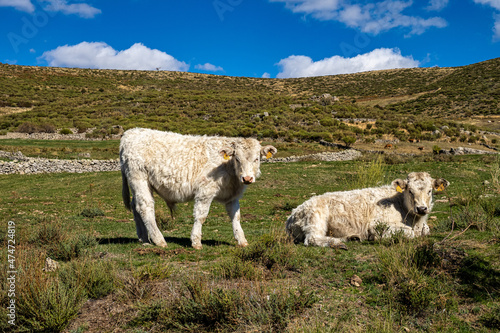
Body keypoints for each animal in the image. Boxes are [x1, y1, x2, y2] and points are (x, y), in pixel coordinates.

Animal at [120, 128, 278, 248]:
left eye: (256, 159)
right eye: (237, 159)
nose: (247, 178)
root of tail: (132, 132)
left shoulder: (232, 196)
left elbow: (236, 216)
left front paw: (242, 240)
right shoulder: (205, 192)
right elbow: (201, 216)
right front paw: (196, 241)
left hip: (139, 185)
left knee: (135, 206)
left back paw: (144, 238)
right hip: (139, 179)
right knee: (145, 207)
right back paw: (159, 240)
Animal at [286, 172, 450, 248]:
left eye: (430, 191)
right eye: (410, 191)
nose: (422, 208)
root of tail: (292, 215)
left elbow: (426, 230)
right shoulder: (377, 224)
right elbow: (409, 233)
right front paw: (375, 237)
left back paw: (352, 237)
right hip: (315, 218)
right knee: (312, 238)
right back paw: (339, 242)